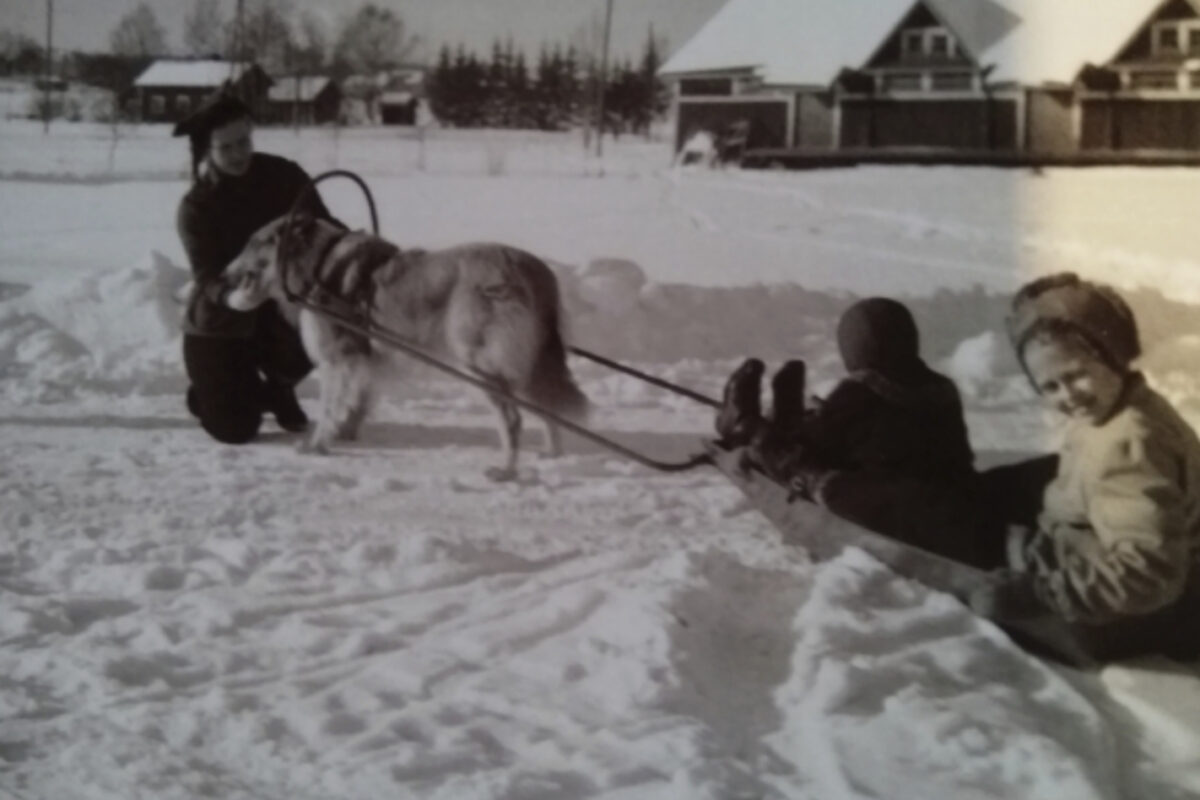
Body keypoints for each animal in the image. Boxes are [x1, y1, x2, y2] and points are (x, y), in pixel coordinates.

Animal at [222, 214, 590, 482]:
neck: (318, 265)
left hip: (480, 365)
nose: (223, 275)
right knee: (547, 407)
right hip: (526, 365)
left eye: (252, 243)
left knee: (513, 420)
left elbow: (329, 408)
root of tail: (532, 269)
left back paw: (507, 470)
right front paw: (347, 432)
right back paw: (552, 453)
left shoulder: (339, 360)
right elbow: (357, 402)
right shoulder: (364, 361)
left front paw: (318, 444)